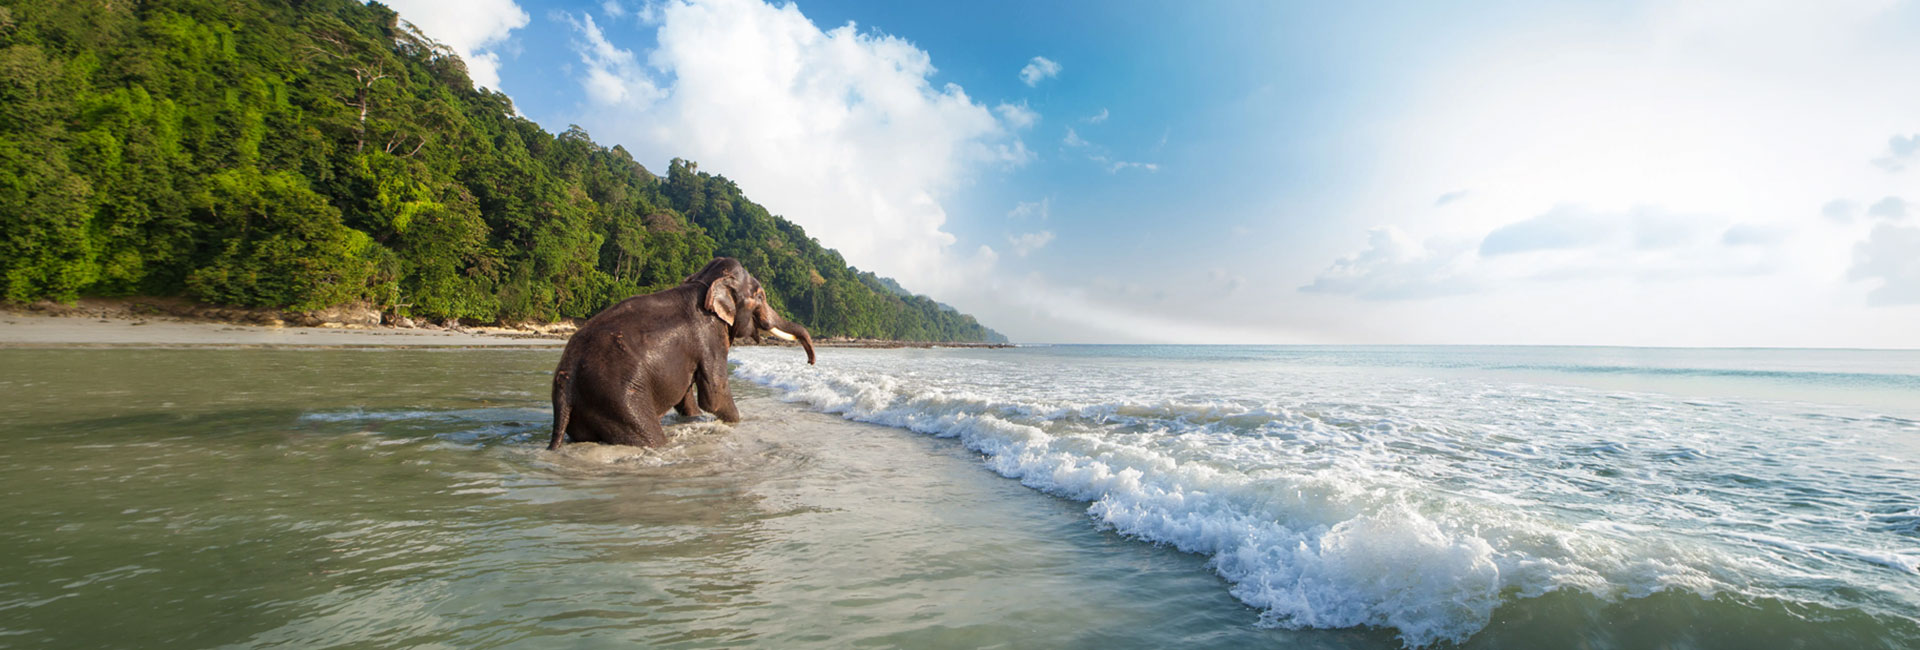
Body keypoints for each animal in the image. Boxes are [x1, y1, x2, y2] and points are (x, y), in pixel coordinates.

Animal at [547, 257, 816, 449]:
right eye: (760, 296)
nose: (811, 362)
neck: (704, 283)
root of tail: (565, 380)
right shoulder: (710, 336)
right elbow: (714, 395)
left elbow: (687, 395)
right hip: (618, 401)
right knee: (649, 437)